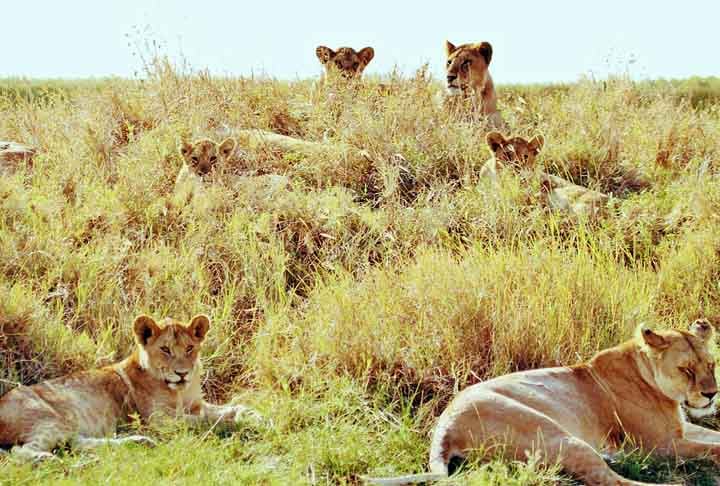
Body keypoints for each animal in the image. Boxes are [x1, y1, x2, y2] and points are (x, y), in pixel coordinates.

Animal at [0, 314, 262, 462]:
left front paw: (255, 416)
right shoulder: (161, 422)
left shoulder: (196, 405)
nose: (182, 373)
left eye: (189, 348)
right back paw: (45, 459)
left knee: (76, 444)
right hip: (51, 419)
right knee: (20, 452)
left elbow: (233, 407)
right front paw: (237, 424)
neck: (179, 391)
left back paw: (138, 441)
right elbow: (206, 422)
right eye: (165, 349)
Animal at [366, 318, 720, 486]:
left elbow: (713, 438)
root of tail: (444, 427)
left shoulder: (682, 430)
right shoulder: (658, 446)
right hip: (559, 437)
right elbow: (712, 449)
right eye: (686, 369)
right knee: (611, 481)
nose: (711, 394)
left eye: (711, 364)